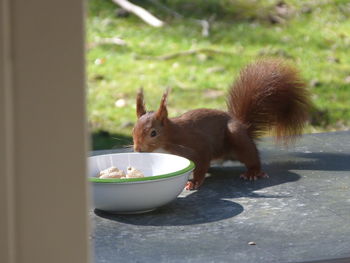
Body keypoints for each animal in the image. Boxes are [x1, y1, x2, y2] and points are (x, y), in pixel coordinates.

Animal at [132, 59, 312, 192]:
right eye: (133, 130)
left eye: (153, 133)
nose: (138, 150)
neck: (170, 138)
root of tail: (244, 126)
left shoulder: (197, 146)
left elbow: (202, 162)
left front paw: (194, 182)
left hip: (238, 138)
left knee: (252, 157)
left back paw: (253, 172)